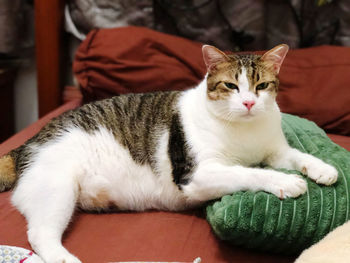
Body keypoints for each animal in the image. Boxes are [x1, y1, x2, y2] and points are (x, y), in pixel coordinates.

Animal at [0, 44, 340, 262]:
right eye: (231, 86)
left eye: (262, 86)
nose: (248, 103)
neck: (244, 130)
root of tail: (26, 143)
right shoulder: (196, 175)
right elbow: (249, 171)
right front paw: (285, 182)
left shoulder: (275, 151)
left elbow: (296, 156)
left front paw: (322, 168)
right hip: (57, 187)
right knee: (40, 234)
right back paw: (64, 258)